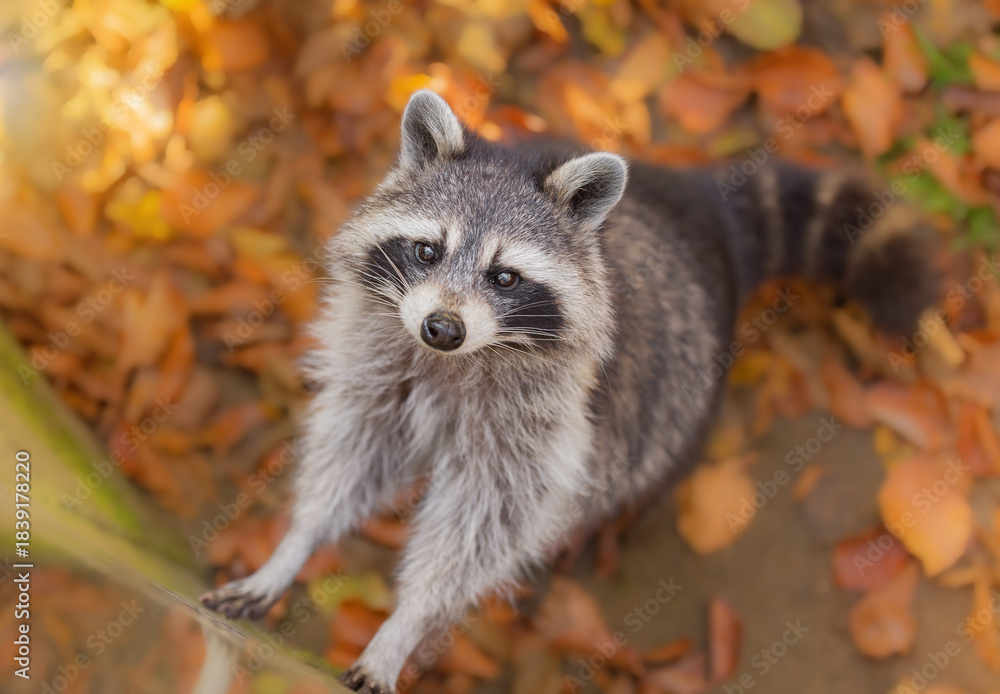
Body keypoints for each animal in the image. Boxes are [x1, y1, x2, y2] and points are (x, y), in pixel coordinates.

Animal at [202, 90, 940, 692]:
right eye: (427, 251)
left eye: (504, 277)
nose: (442, 328)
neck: (458, 359)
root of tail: (705, 206)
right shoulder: (381, 364)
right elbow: (354, 455)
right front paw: (295, 544)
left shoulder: (541, 422)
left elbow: (483, 524)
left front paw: (406, 622)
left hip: (683, 386)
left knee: (634, 466)